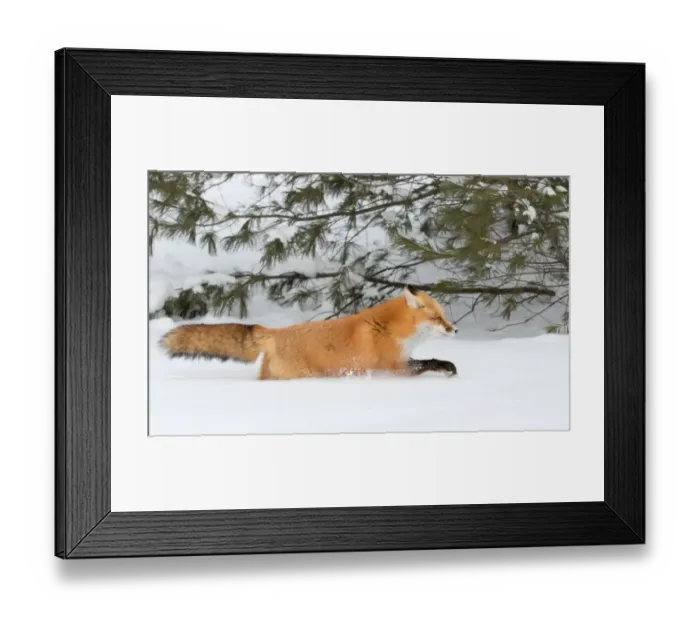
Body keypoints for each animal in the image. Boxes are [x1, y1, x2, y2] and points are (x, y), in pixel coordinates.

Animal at [160, 286, 458, 380]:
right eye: (437, 317)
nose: (454, 329)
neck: (389, 328)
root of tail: (273, 332)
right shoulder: (394, 366)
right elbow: (430, 362)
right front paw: (447, 368)